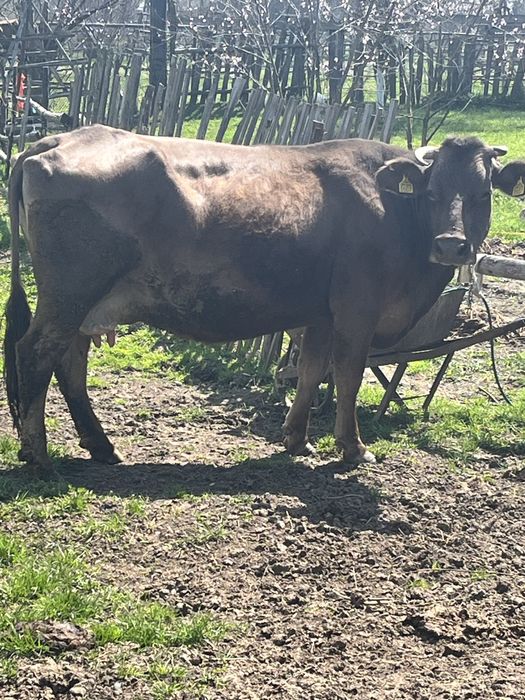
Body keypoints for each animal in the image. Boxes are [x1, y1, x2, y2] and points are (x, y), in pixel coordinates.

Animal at [4, 125, 525, 479]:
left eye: (483, 193)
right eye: (432, 191)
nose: (451, 245)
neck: (392, 209)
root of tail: (57, 139)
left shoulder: (321, 315)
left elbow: (312, 371)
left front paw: (296, 439)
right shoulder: (357, 310)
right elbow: (349, 376)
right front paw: (353, 448)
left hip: (83, 305)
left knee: (70, 363)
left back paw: (100, 446)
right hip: (69, 295)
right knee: (37, 354)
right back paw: (38, 456)